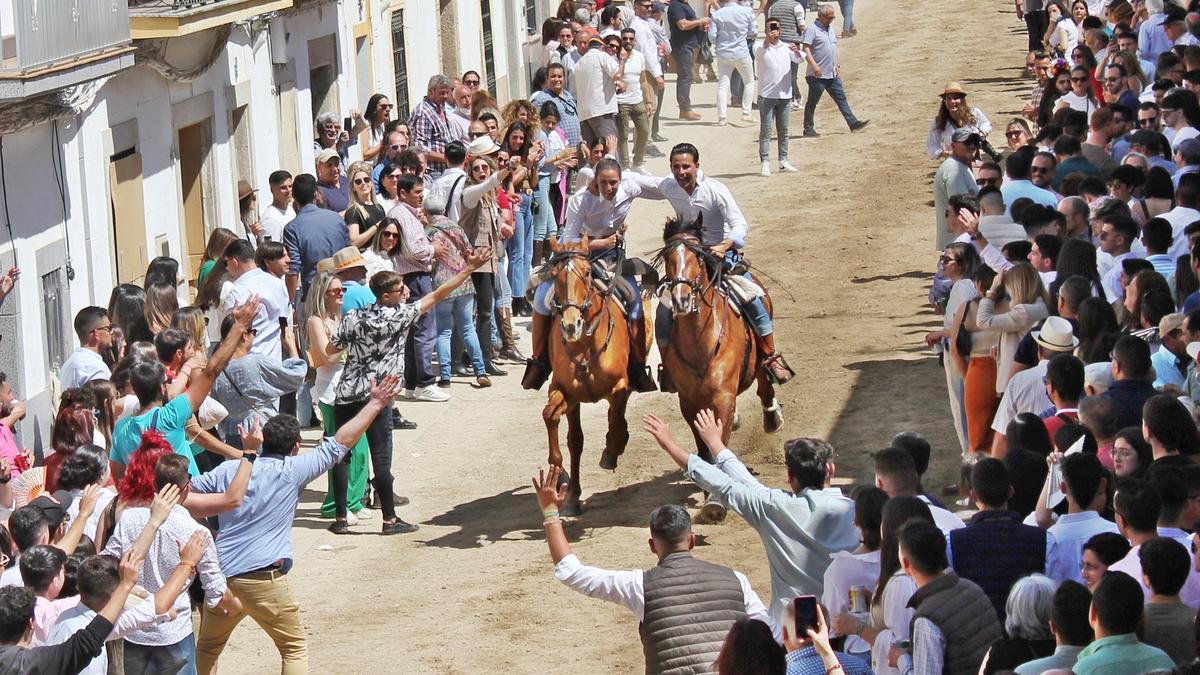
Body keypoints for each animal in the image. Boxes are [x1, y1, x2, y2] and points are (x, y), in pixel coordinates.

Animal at [544, 234, 638, 511]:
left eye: (586, 273)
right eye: (555, 275)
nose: (570, 325)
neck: (585, 346)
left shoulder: (619, 386)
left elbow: (616, 420)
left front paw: (612, 451)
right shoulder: (564, 392)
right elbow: (558, 424)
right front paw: (562, 480)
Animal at [652, 214, 782, 514]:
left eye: (698, 257)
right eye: (669, 257)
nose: (681, 299)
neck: (701, 341)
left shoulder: (723, 395)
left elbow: (719, 438)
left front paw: (714, 500)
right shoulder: (688, 400)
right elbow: (703, 444)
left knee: (765, 379)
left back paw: (771, 415)